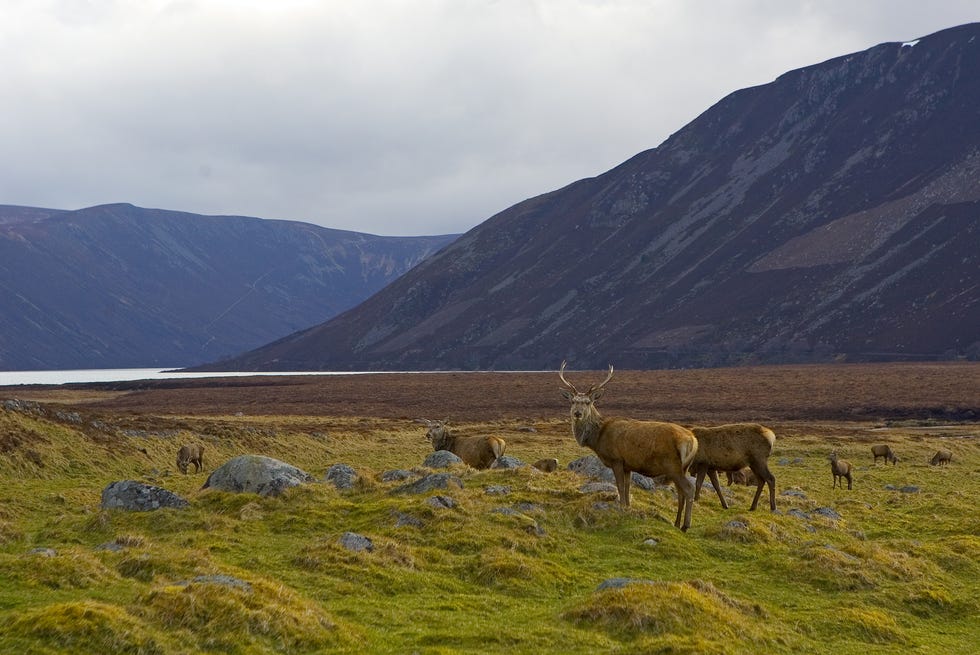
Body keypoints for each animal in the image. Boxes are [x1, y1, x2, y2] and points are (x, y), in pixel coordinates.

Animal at [560, 364, 696, 532]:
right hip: (682, 467)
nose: (577, 413)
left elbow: (619, 486)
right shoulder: (628, 465)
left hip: (672, 465)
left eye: (587, 402)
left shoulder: (616, 459)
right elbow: (627, 487)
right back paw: (676, 523)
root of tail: (693, 440)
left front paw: (622, 507)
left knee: (689, 489)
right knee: (681, 492)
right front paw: (628, 507)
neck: (598, 438)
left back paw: (686, 525)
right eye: (573, 401)